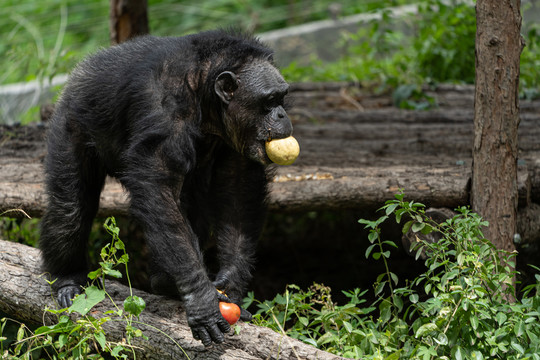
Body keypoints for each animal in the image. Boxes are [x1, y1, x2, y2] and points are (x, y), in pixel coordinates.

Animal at [39, 28, 294, 346]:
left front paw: (231, 283)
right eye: (269, 101)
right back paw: (68, 278)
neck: (203, 91)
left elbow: (238, 188)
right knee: (70, 210)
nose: (282, 115)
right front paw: (202, 300)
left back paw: (165, 282)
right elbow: (157, 187)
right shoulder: (164, 108)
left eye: (282, 97)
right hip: (69, 122)